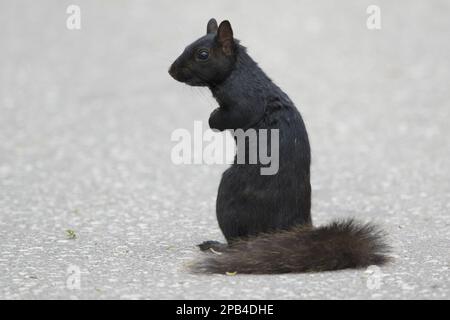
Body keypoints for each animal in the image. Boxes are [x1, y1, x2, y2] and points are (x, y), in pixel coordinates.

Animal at [169, 18, 390, 274]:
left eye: (202, 55)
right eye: (187, 45)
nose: (171, 71)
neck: (237, 73)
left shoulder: (244, 102)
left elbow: (229, 117)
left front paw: (212, 120)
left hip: (230, 194)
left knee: (239, 241)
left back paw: (218, 247)